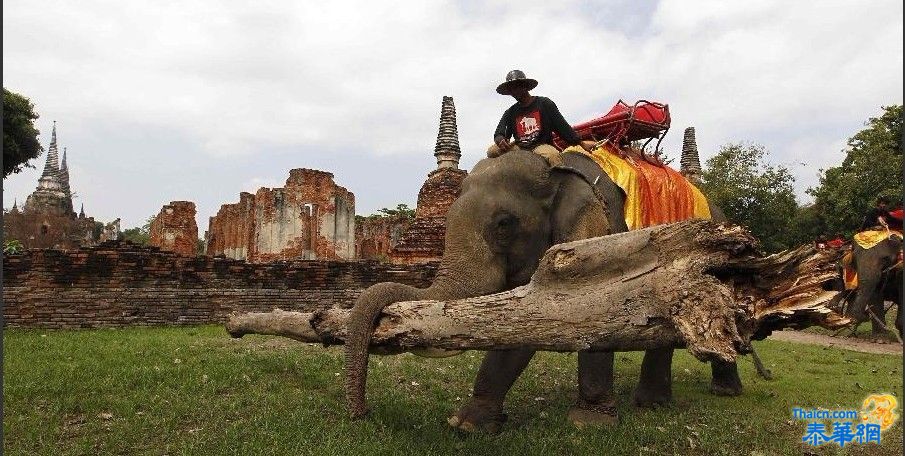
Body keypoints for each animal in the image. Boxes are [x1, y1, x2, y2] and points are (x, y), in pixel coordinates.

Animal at [342, 150, 740, 432]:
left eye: (504, 225)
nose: (360, 414)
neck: (556, 167)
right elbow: (524, 318)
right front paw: (467, 423)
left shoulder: (605, 233)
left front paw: (590, 423)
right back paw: (653, 403)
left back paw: (718, 393)